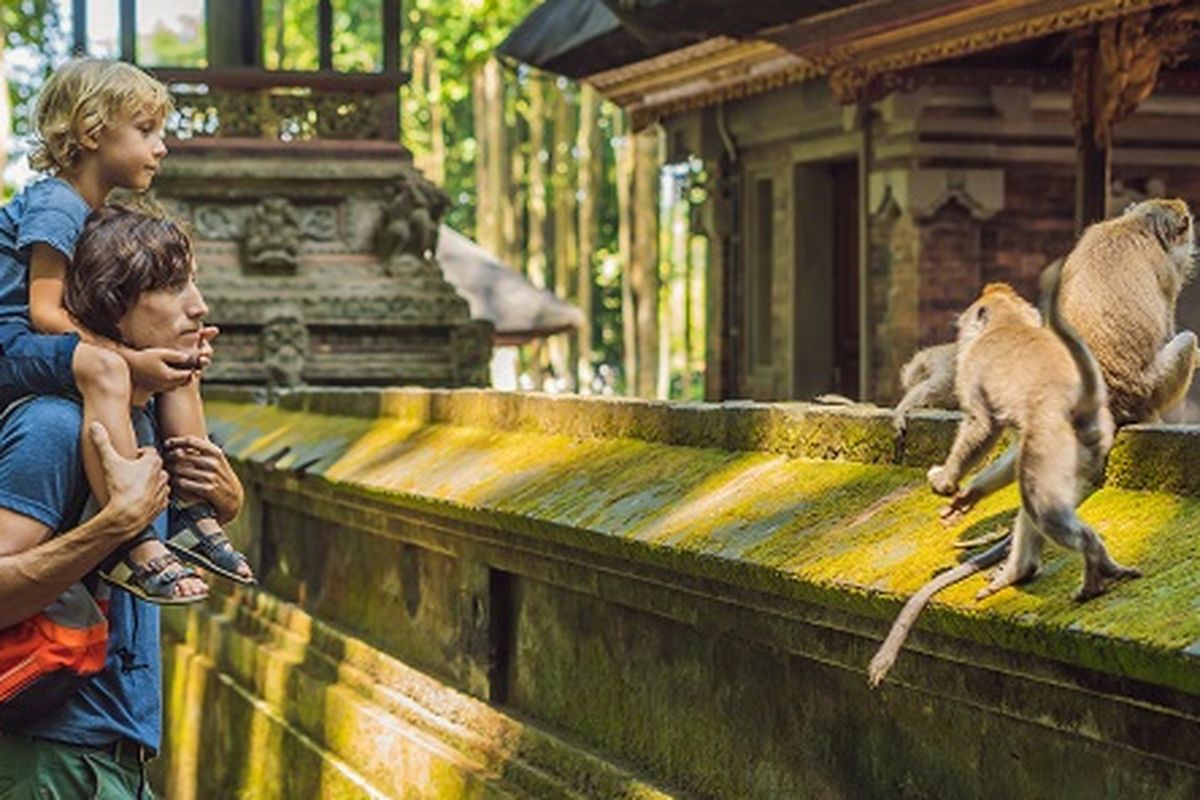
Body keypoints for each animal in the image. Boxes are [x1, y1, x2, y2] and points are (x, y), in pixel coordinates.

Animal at [868, 262, 1137, 690]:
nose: (961, 332)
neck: (1009, 323)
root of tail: (1084, 402)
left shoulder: (973, 370)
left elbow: (981, 425)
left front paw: (947, 481)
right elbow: (1008, 453)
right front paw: (968, 496)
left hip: (1051, 444)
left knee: (1042, 507)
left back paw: (1092, 561)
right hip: (1083, 455)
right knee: (1033, 500)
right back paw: (1022, 571)